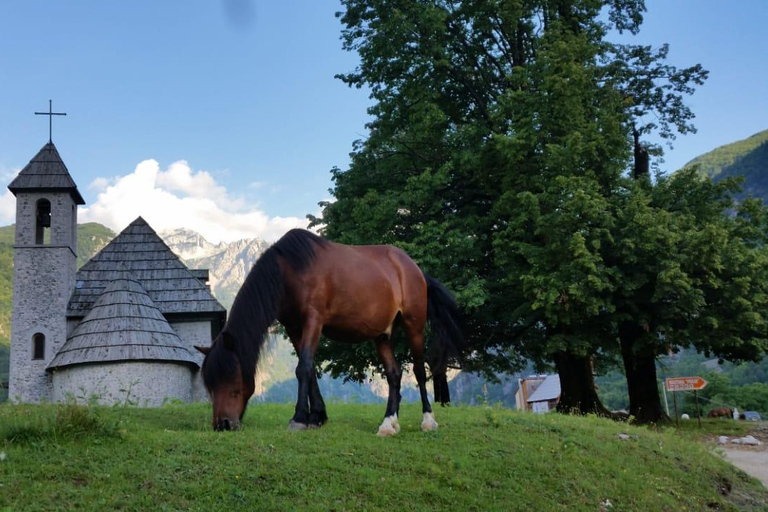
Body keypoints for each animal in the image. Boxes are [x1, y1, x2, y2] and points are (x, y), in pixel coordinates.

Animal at [195, 230, 464, 434]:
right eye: (210, 384)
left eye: (232, 381)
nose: (223, 424)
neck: (291, 270)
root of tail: (413, 269)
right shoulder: (294, 327)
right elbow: (309, 368)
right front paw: (317, 416)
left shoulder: (314, 321)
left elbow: (303, 367)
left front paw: (299, 418)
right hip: (383, 335)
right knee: (394, 374)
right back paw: (388, 423)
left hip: (413, 325)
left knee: (419, 370)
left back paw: (428, 420)